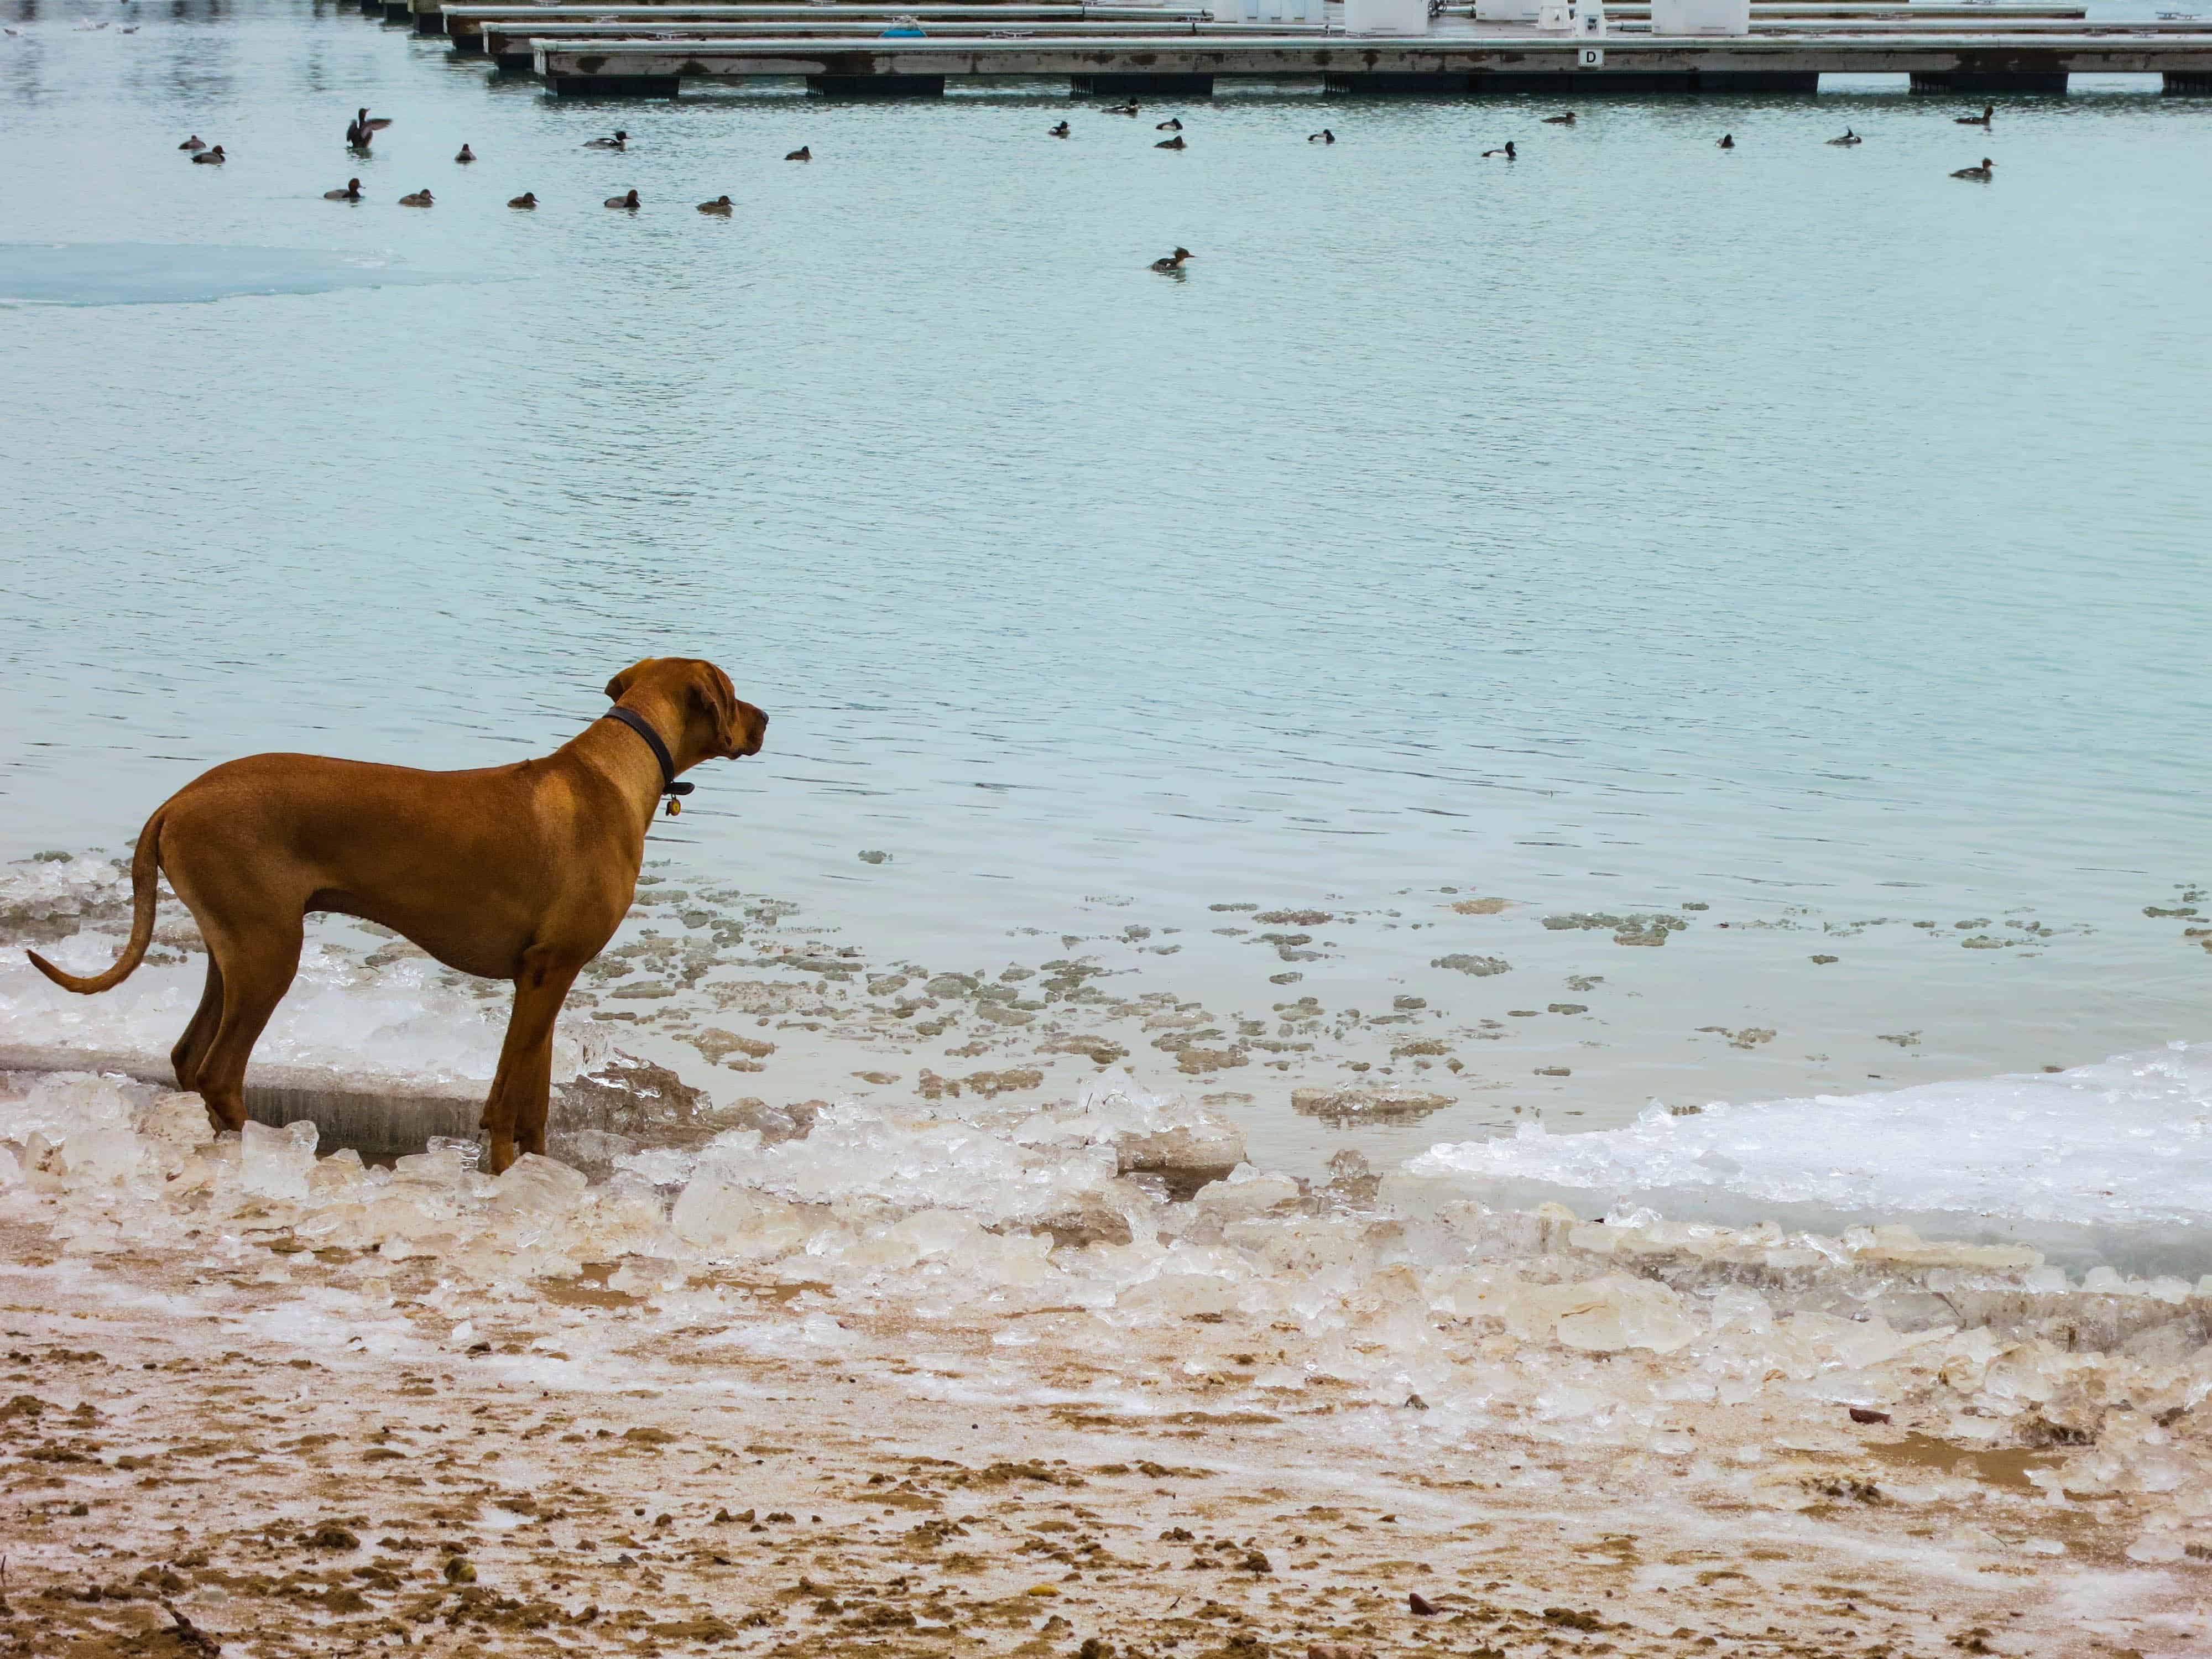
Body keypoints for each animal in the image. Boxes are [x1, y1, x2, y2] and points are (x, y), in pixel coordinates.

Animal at [24, 655, 770, 1177]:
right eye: (734, 693)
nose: (767, 720)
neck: (616, 771)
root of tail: (176, 801)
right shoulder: (547, 972)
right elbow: (506, 1097)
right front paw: (504, 1174)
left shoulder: (546, 976)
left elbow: (533, 1094)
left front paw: (536, 1171)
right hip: (269, 953)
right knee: (220, 1071)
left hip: (233, 947)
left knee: (188, 1055)